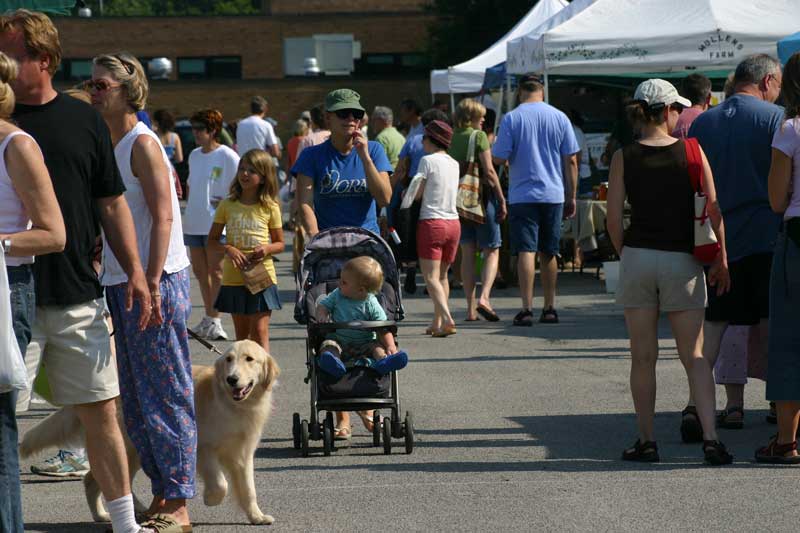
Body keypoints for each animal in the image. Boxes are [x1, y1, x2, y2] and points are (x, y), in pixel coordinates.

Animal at [19, 338, 282, 524]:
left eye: (250, 359)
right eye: (229, 360)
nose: (231, 379)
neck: (233, 405)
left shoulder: (242, 454)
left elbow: (248, 489)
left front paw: (257, 516)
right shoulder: (202, 446)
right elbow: (220, 483)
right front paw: (210, 499)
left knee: (96, 479)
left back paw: (109, 513)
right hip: (128, 445)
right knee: (98, 479)